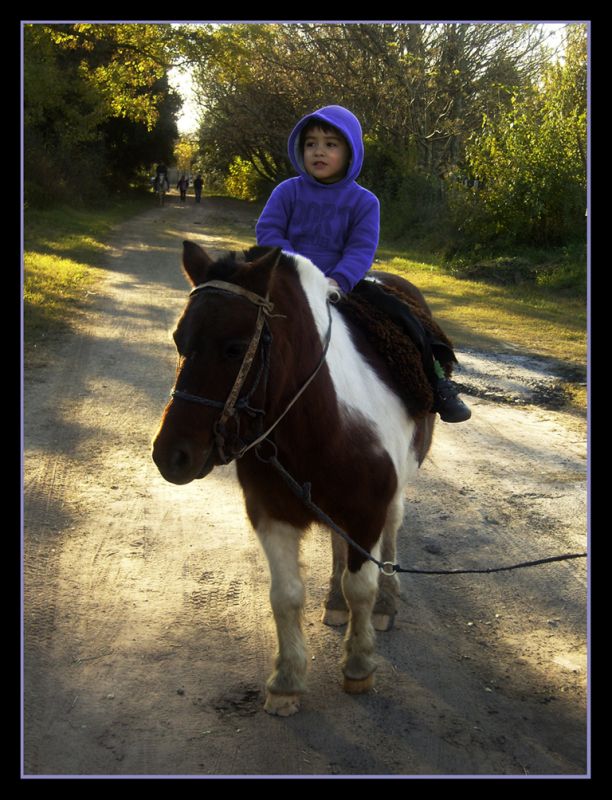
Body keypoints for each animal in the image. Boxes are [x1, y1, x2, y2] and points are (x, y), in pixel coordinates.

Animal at [152, 241, 436, 716]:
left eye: (234, 348)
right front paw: (286, 680)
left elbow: (362, 586)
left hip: (394, 493)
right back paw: (335, 602)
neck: (320, 425)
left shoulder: (367, 512)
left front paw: (359, 664)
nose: (171, 457)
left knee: (391, 536)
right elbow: (285, 596)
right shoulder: (273, 516)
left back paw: (386, 601)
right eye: (179, 340)